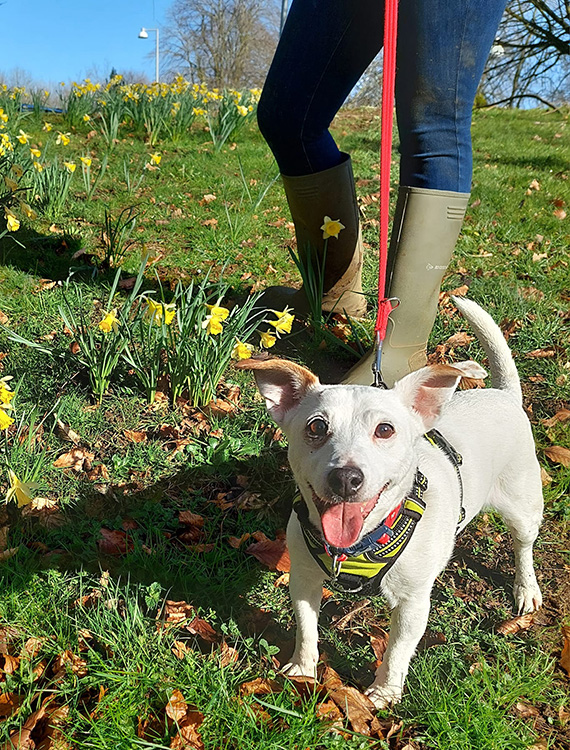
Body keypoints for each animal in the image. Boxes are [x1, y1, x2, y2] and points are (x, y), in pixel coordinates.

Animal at [236, 300, 540, 712]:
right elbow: (306, 628)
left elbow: (397, 650)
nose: (345, 478)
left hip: (523, 507)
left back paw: (526, 588)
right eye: (316, 427)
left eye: (385, 430)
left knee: (523, 547)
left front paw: (385, 692)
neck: (359, 546)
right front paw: (302, 669)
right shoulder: (304, 579)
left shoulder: (413, 603)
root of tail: (503, 395)